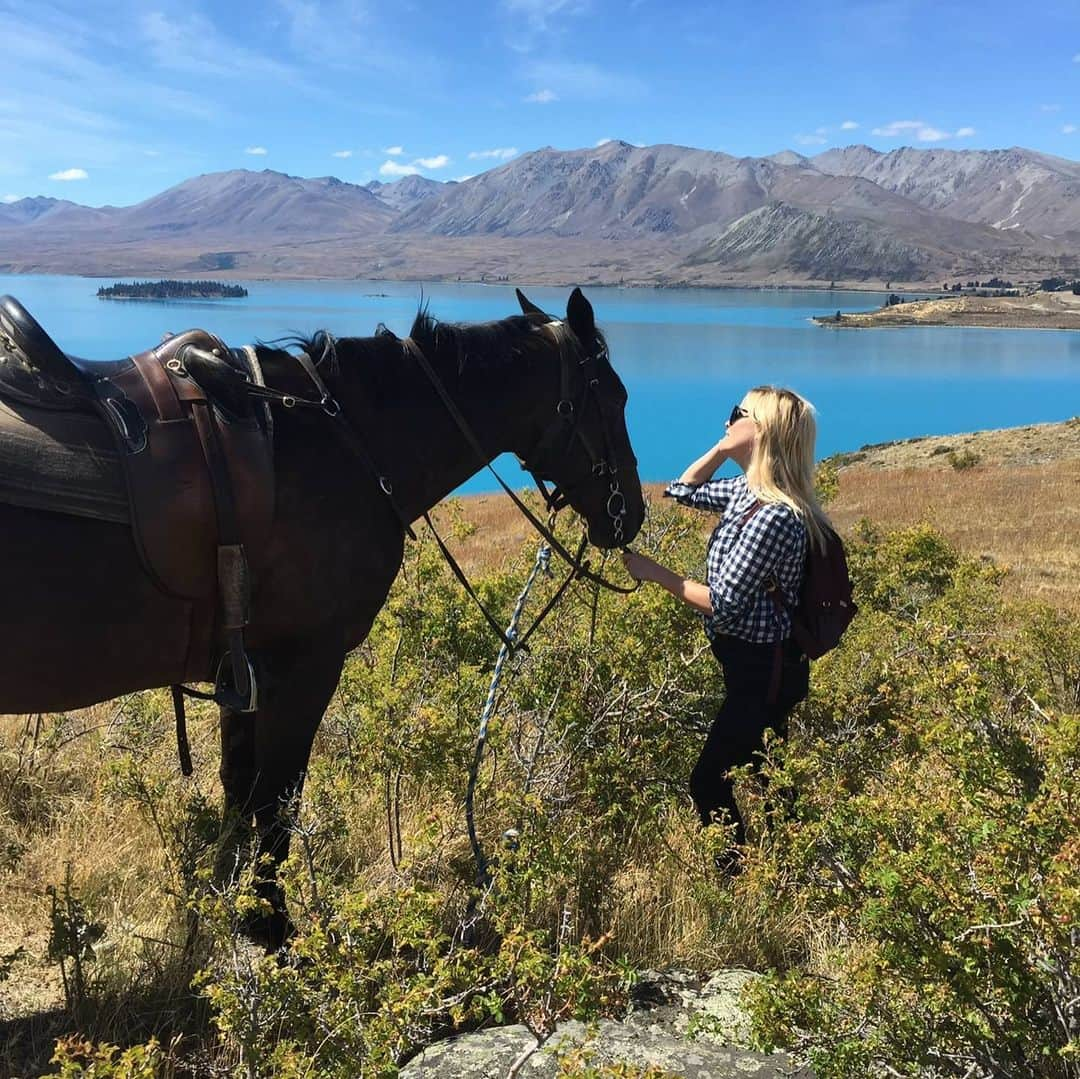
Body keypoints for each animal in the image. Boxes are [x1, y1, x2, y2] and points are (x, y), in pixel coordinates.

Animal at [0, 285, 639, 946]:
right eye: (616, 397)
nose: (632, 514)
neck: (344, 443)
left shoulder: (243, 669)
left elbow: (240, 790)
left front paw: (232, 913)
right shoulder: (304, 663)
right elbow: (276, 801)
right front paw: (273, 930)